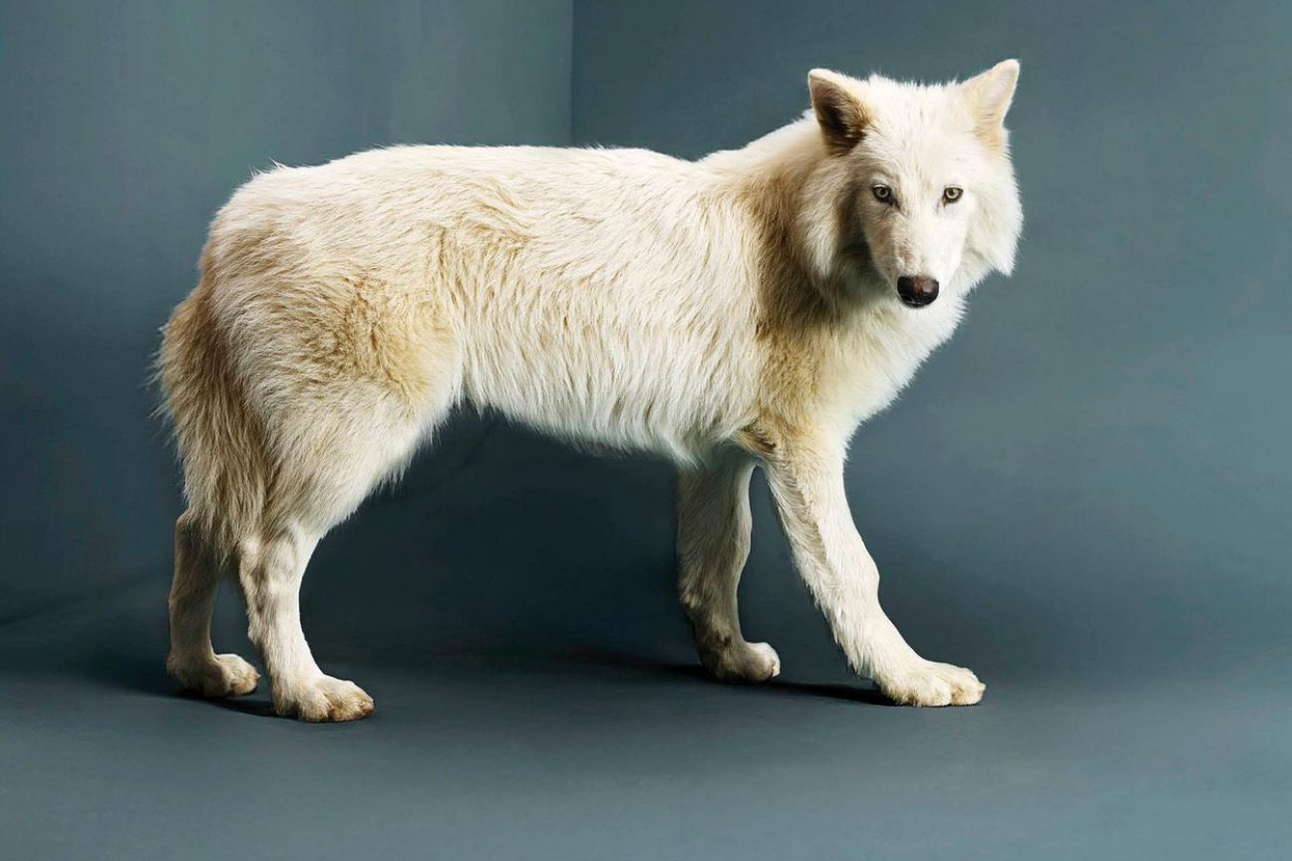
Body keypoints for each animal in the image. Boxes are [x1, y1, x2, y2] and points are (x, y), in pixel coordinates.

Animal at [158, 61, 1022, 721]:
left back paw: (200, 672)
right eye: (882, 193)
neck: (799, 241)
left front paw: (732, 660)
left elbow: (717, 566)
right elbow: (853, 572)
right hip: (348, 449)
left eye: (950, 196)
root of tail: (230, 223)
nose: (920, 289)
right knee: (264, 556)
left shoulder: (719, 459)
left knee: (195, 531)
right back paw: (307, 692)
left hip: (251, 458)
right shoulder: (804, 451)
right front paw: (911, 678)